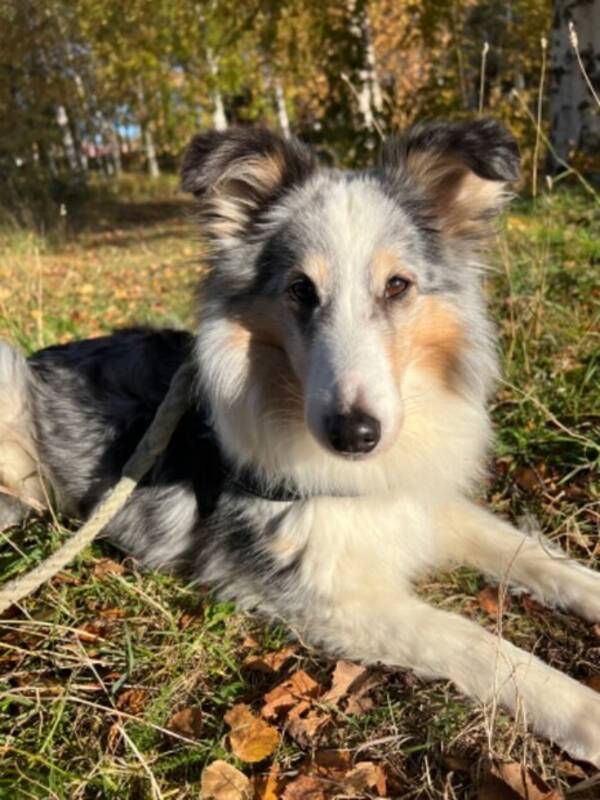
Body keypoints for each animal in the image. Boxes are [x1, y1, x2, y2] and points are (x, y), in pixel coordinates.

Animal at [0, 119, 596, 764]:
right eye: (300, 290)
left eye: (397, 286)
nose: (354, 435)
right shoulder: (332, 599)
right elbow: (475, 640)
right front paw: (580, 711)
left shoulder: (420, 503)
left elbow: (531, 553)